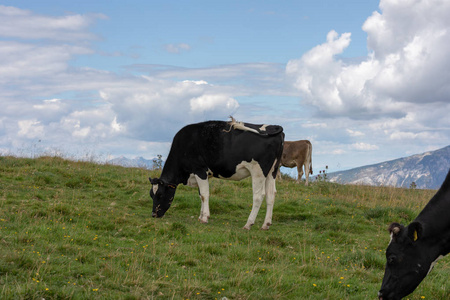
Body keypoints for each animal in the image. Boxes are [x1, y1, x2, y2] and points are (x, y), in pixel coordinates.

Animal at [150, 117, 284, 230]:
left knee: (258, 196)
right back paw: (266, 224)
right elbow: (201, 195)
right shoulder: (202, 175)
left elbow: (204, 195)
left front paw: (204, 217)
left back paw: (248, 224)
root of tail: (274, 127)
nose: (153, 214)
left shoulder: (200, 170)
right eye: (151, 194)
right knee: (271, 194)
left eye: (160, 195)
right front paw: (200, 216)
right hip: (272, 171)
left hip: (258, 171)